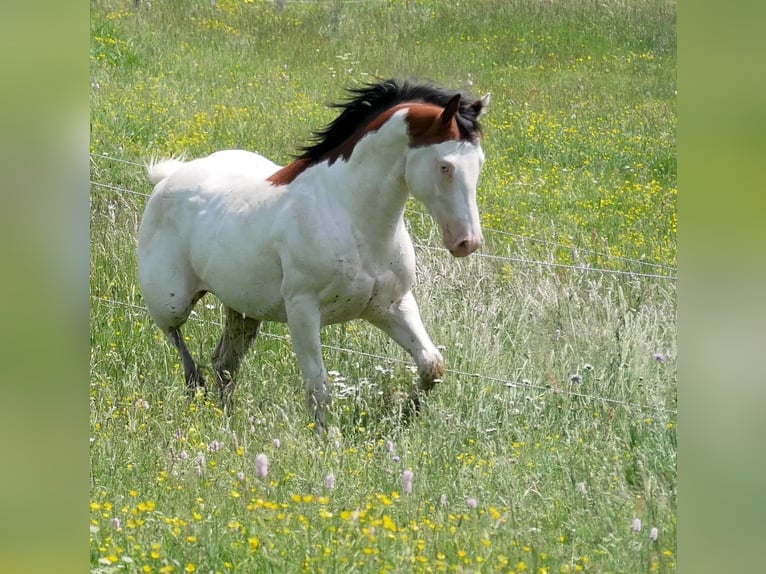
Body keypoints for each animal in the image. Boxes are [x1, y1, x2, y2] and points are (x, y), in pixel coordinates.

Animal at [138, 79, 492, 434]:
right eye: (445, 166)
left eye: (480, 163)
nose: (467, 242)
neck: (349, 213)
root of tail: (168, 178)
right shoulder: (303, 310)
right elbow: (318, 385)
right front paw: (327, 438)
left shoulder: (393, 305)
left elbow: (432, 365)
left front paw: (406, 417)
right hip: (171, 301)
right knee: (183, 349)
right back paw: (198, 392)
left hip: (243, 311)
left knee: (224, 365)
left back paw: (225, 420)